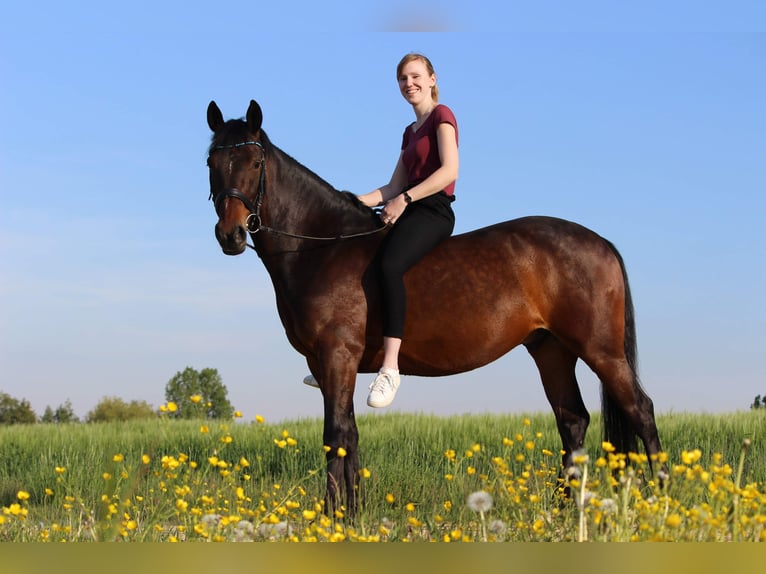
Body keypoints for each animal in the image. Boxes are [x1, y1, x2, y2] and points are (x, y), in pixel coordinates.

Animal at [206, 101, 664, 516]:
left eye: (254, 162)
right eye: (212, 161)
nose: (230, 235)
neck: (322, 247)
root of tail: (600, 242)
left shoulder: (337, 356)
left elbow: (334, 434)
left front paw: (332, 517)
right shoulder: (325, 364)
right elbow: (349, 435)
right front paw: (353, 516)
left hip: (601, 350)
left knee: (640, 410)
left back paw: (660, 499)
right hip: (551, 350)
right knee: (572, 421)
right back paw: (567, 511)